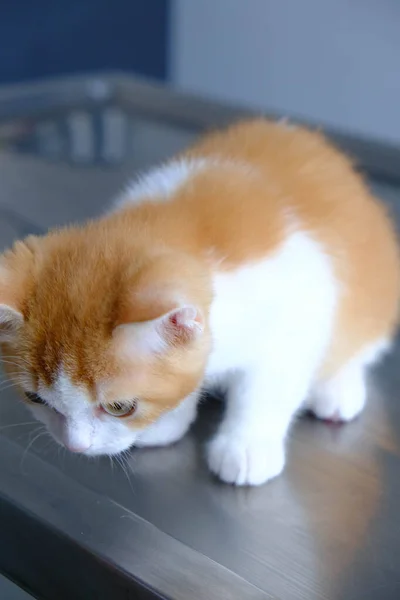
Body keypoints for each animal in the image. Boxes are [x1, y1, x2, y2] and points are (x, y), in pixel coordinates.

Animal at [0, 119, 400, 486]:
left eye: (119, 407)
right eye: (36, 399)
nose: (76, 446)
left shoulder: (300, 314)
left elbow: (266, 388)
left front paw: (246, 448)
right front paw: (171, 420)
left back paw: (338, 388)